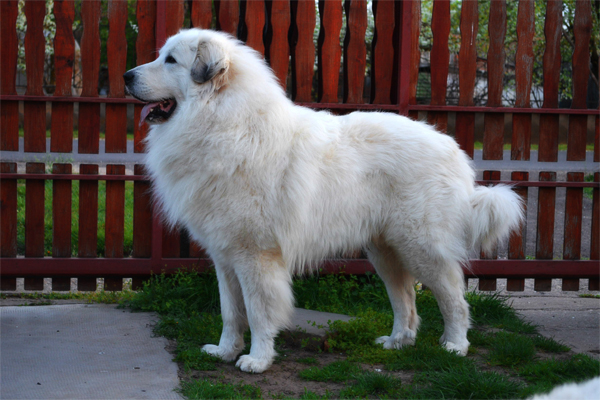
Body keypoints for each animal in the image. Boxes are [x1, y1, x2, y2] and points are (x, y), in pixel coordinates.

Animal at [124, 28, 524, 376]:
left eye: (170, 60)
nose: (127, 77)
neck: (222, 121)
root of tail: (452, 147)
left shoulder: (256, 256)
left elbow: (257, 312)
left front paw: (257, 360)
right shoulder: (225, 256)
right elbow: (230, 311)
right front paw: (224, 351)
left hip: (421, 246)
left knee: (454, 297)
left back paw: (455, 345)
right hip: (385, 251)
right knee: (405, 300)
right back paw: (397, 342)